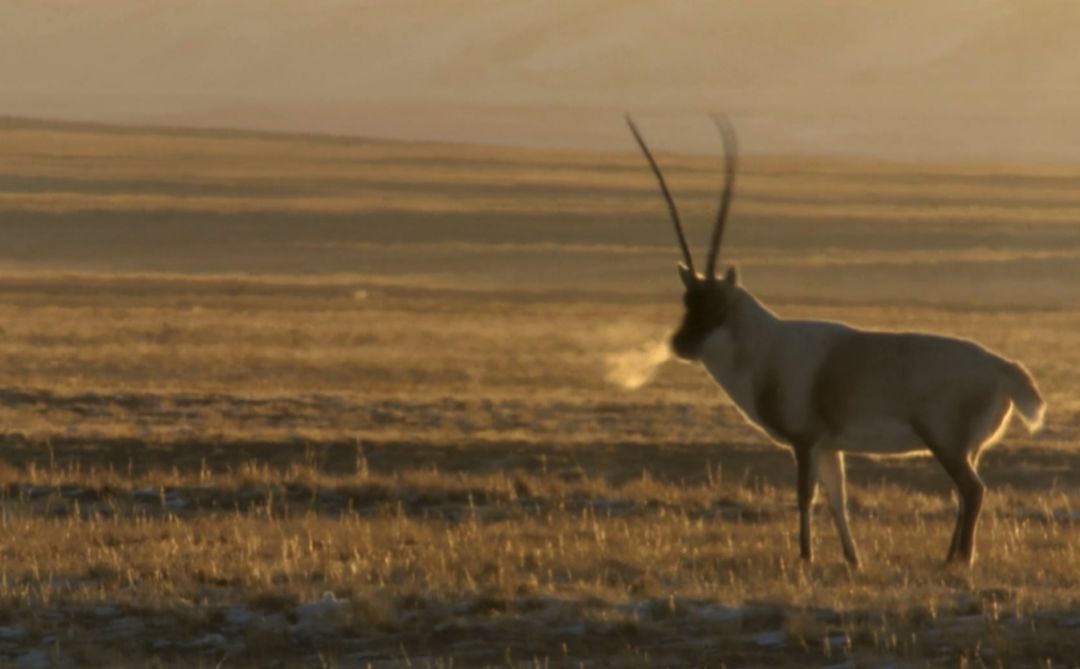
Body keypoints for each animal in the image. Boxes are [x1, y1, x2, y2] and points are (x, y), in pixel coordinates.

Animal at [626, 114, 1045, 566]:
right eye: (688, 300)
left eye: (720, 306)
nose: (681, 345)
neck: (766, 347)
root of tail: (1002, 367)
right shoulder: (830, 445)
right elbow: (836, 499)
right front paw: (852, 559)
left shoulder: (805, 441)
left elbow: (805, 496)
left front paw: (805, 557)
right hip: (967, 447)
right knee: (965, 494)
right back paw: (950, 556)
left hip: (945, 443)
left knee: (973, 490)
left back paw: (960, 561)